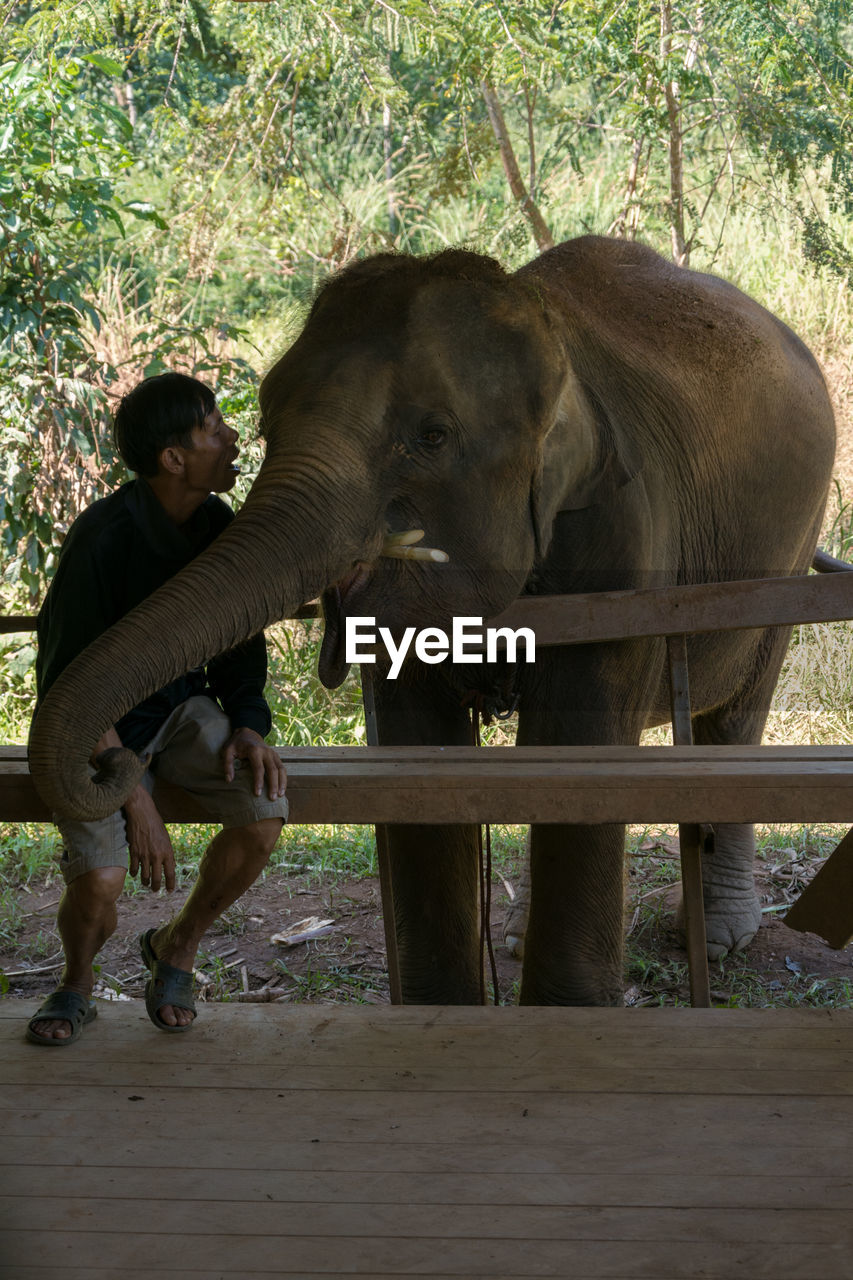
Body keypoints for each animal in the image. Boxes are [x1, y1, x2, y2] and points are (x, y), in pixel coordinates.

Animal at [29, 235, 835, 1003]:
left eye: (432, 436)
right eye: (261, 419)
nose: (110, 762)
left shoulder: (626, 541)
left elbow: (581, 753)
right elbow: (427, 757)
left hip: (790, 542)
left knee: (739, 710)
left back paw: (720, 936)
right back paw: (517, 938)